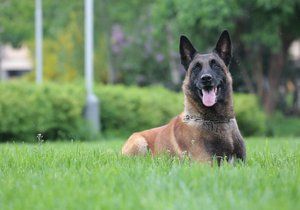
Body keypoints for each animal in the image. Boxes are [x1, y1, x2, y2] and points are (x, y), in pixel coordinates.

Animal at [122, 30, 246, 164]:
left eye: (216, 65)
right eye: (196, 67)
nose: (206, 78)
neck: (217, 120)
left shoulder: (242, 163)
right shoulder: (206, 163)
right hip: (139, 142)